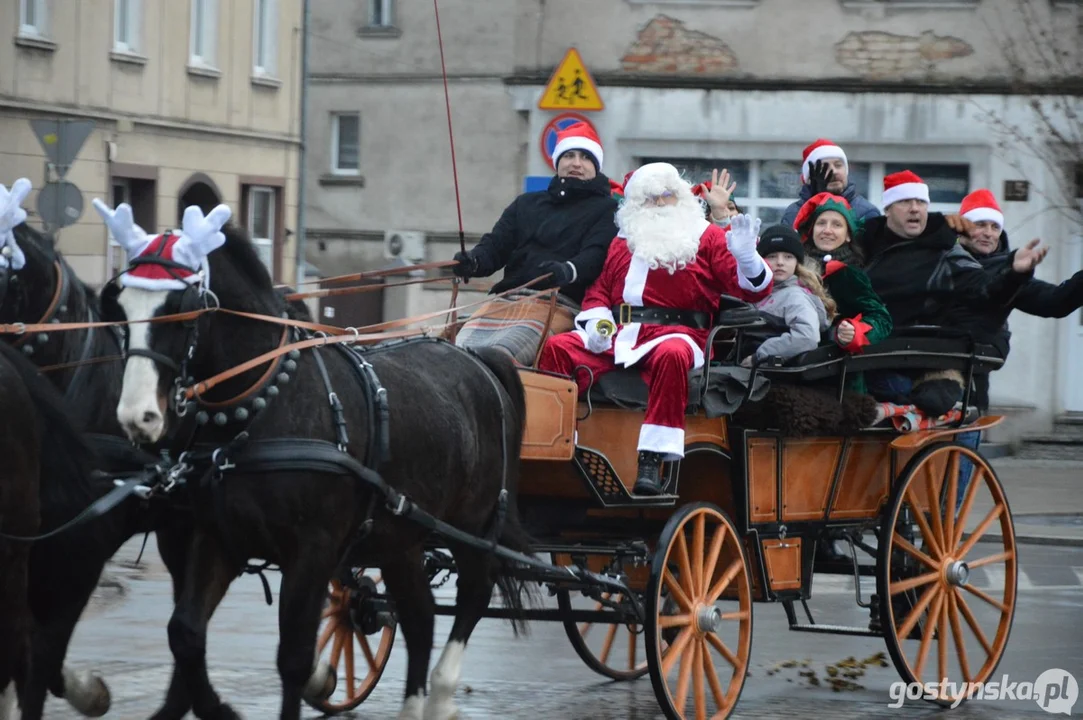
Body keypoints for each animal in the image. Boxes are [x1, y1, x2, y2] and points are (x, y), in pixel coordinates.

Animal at [101, 211, 532, 718]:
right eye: (120, 305)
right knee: (420, 616)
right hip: (400, 537)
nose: (138, 416)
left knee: (473, 597)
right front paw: (218, 707)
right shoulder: (217, 538)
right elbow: (185, 633)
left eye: (182, 309)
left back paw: (442, 693)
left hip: (473, 526)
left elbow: (294, 658)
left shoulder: (312, 551)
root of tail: (480, 359)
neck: (264, 405)